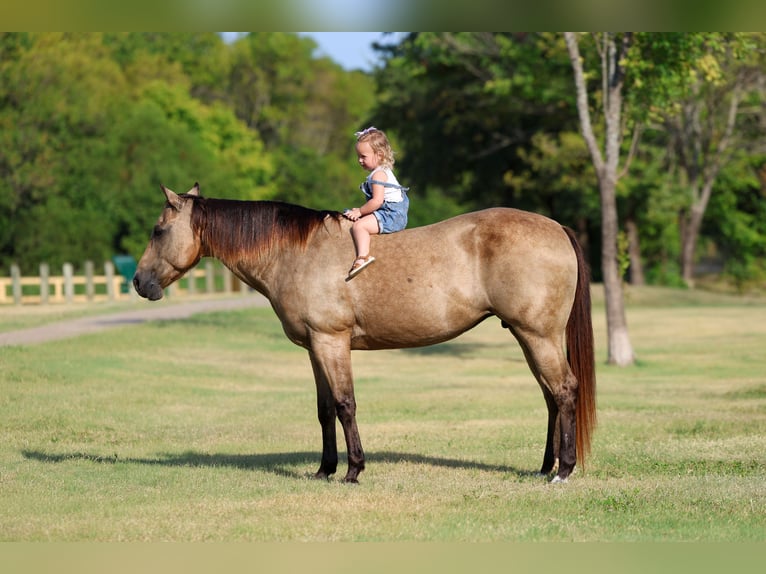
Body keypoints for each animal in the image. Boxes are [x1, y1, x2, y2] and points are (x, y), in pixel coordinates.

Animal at [133, 183, 596, 483]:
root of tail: (557, 228)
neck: (296, 253)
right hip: (528, 336)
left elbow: (345, 404)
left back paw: (563, 471)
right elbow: (324, 410)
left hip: (537, 335)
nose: (139, 282)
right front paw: (324, 469)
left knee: (564, 390)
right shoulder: (314, 347)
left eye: (158, 230)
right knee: (550, 396)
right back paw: (545, 466)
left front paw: (353, 470)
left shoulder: (332, 342)